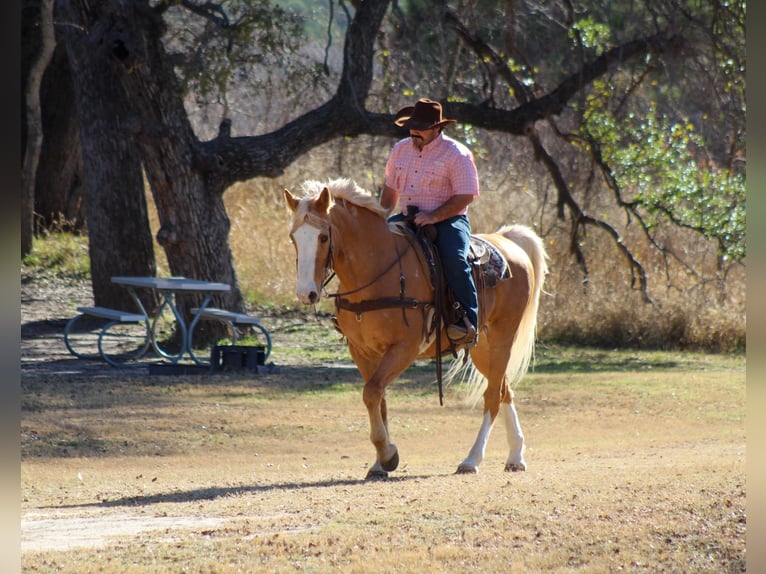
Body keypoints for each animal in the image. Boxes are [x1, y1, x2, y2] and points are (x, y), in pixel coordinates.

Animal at [284, 178, 547, 479]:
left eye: (323, 237)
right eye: (293, 237)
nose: (306, 293)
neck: (376, 270)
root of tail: (507, 241)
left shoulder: (404, 348)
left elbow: (371, 392)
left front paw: (388, 455)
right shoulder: (362, 351)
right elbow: (378, 399)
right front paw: (380, 462)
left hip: (503, 337)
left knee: (492, 395)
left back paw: (471, 459)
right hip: (483, 346)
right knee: (504, 388)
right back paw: (515, 455)